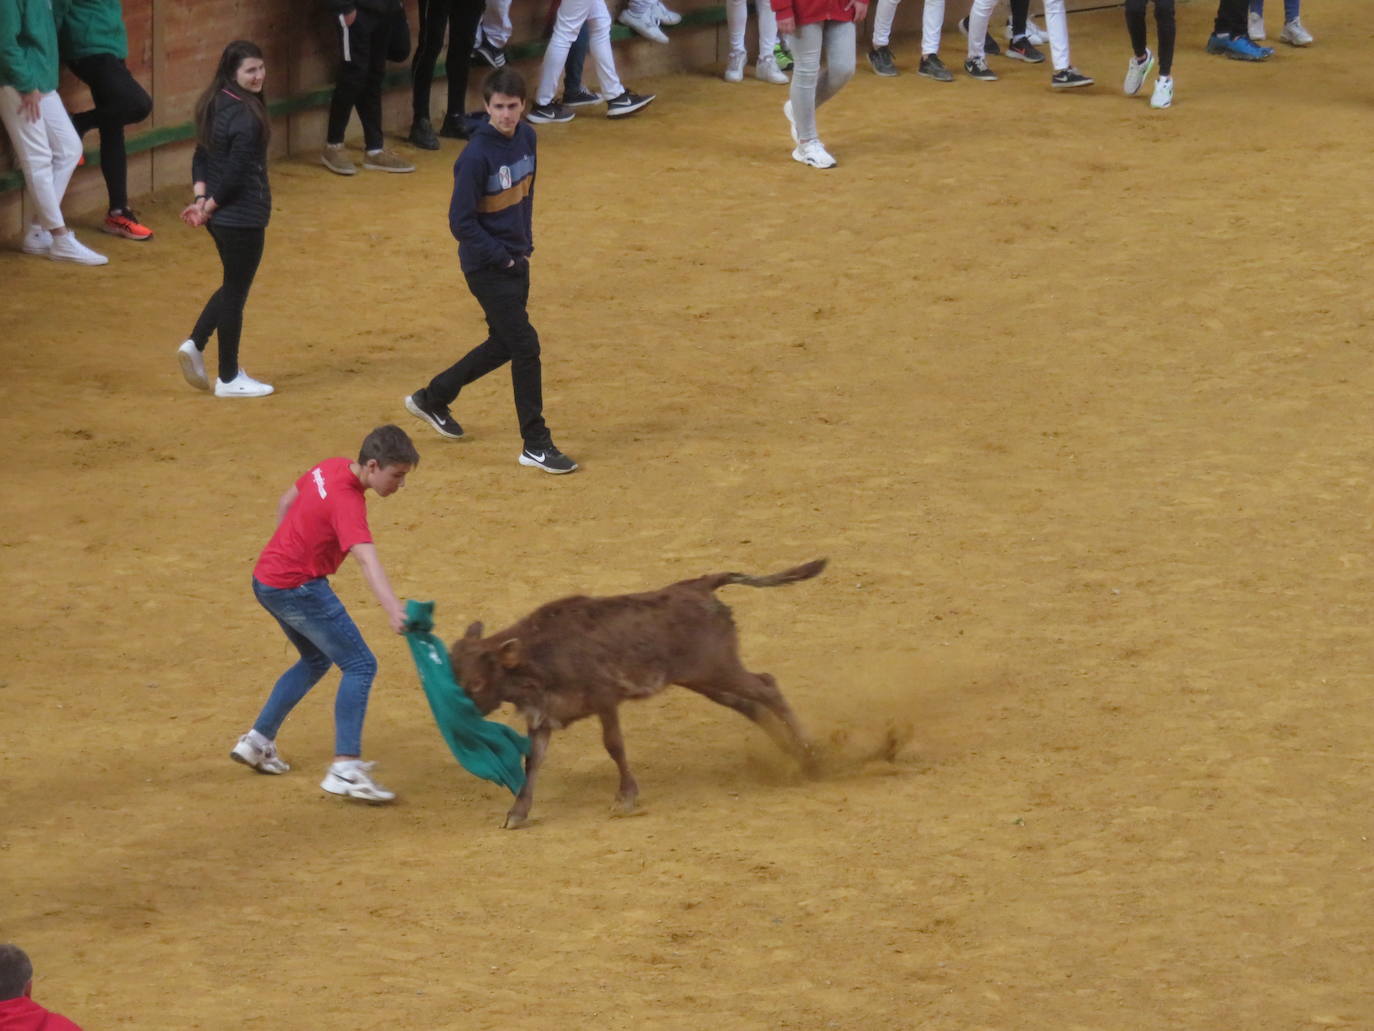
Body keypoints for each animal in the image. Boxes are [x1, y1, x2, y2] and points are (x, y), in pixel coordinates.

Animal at [453, 560, 824, 830]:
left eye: (476, 684)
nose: (461, 723)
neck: (538, 654)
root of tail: (699, 586)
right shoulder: (543, 717)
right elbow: (533, 762)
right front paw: (517, 813)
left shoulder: (605, 699)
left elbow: (614, 745)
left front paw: (625, 799)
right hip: (701, 679)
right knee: (750, 704)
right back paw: (793, 753)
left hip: (719, 667)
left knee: (767, 686)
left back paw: (809, 751)